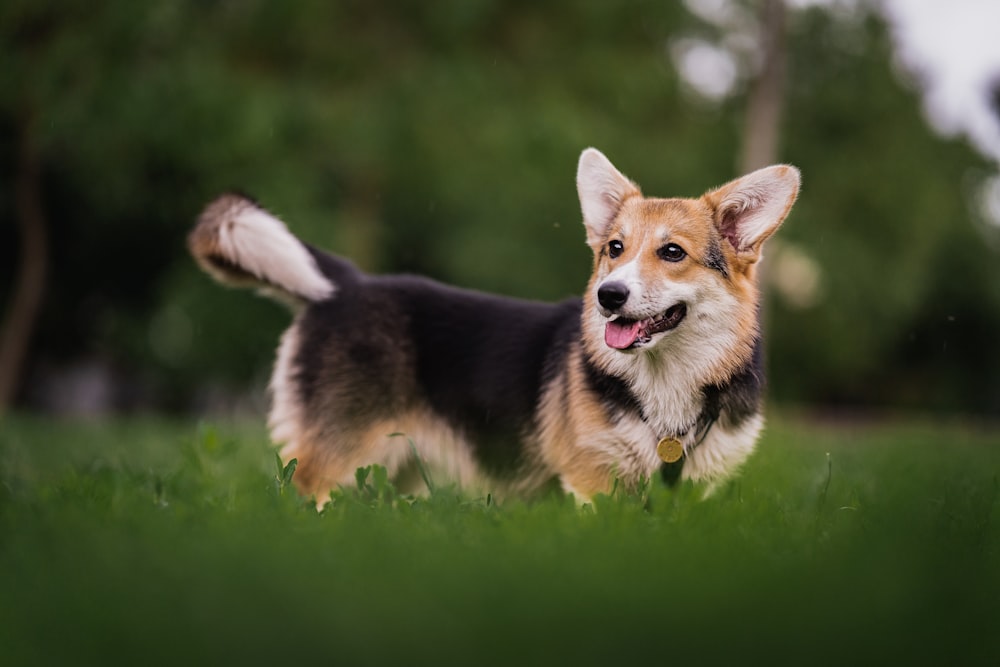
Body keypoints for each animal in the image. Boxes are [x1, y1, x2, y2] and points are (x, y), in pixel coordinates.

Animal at [186, 149, 796, 504]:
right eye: (614, 250)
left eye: (672, 253)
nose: (608, 296)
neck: (664, 386)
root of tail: (346, 282)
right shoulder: (592, 484)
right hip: (337, 460)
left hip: (395, 470)